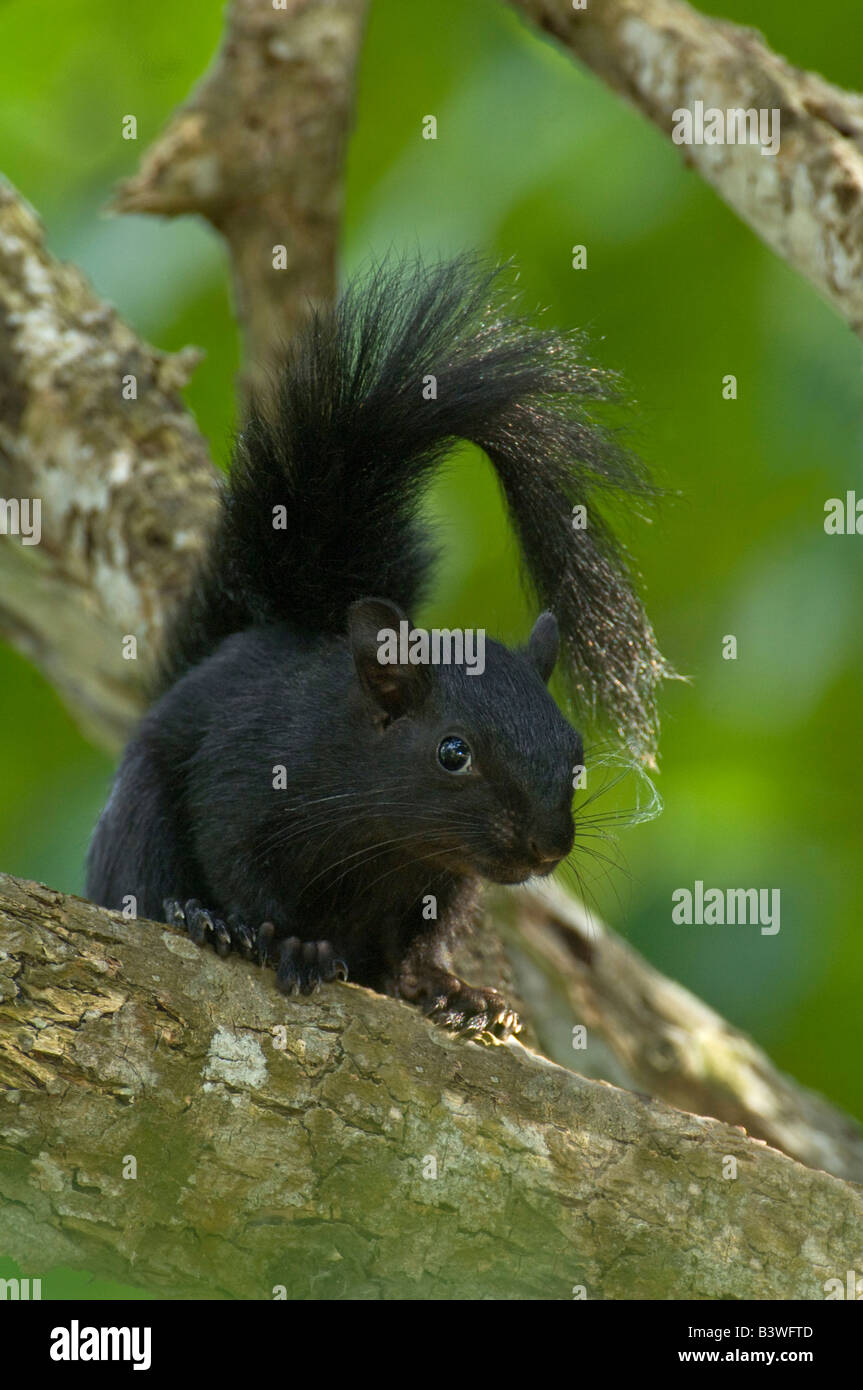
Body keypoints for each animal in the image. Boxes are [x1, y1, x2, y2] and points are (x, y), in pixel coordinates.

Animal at [87, 255, 667, 1039]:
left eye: (575, 754)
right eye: (452, 752)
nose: (546, 846)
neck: (386, 840)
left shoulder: (443, 879)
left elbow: (420, 942)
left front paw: (452, 988)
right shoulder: (242, 775)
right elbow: (236, 862)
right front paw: (284, 940)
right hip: (139, 813)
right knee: (142, 876)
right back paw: (197, 917)